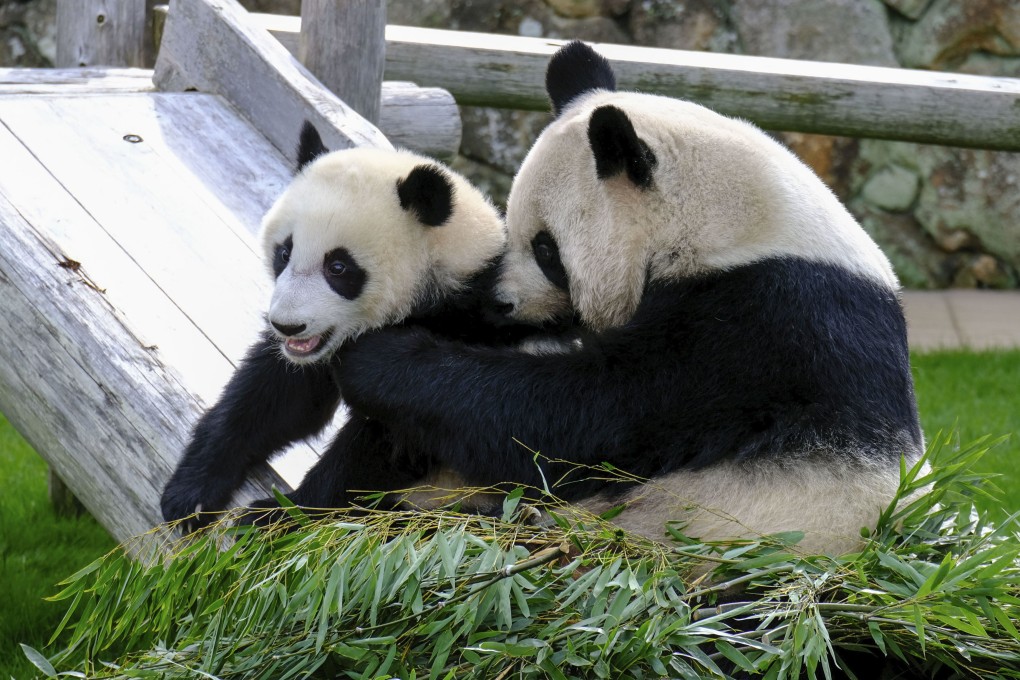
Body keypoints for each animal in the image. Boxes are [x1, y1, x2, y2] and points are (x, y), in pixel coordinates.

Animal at [160, 122, 547, 531]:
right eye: (284, 252)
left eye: (338, 267)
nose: (287, 326)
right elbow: (277, 397)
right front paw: (192, 492)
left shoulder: (458, 327)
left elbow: (392, 443)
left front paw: (283, 514)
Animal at [332, 41, 924, 556]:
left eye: (547, 249)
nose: (500, 303)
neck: (729, 225)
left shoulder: (762, 327)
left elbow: (585, 417)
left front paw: (377, 359)